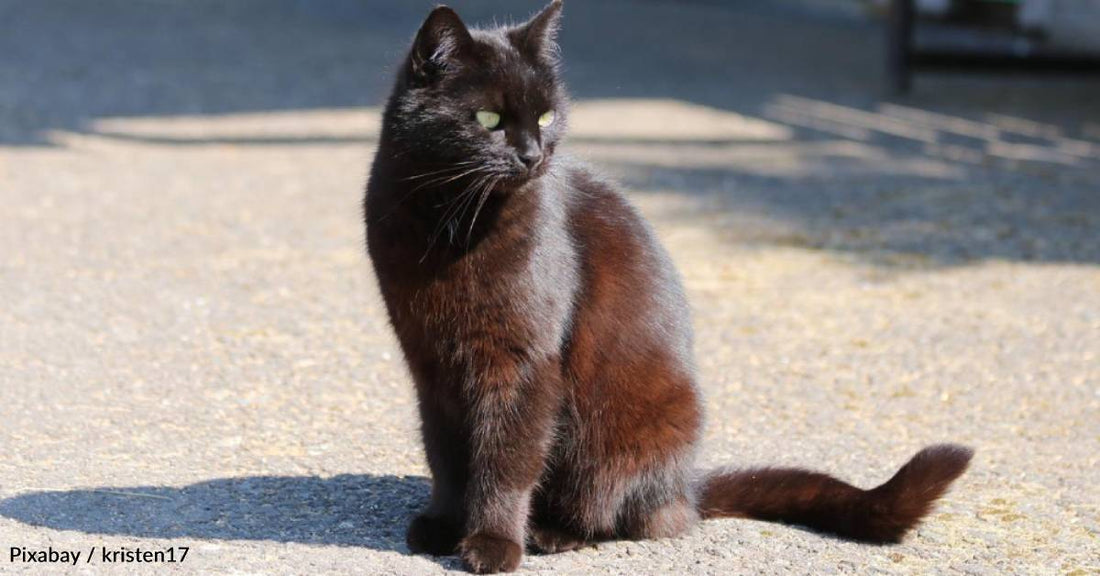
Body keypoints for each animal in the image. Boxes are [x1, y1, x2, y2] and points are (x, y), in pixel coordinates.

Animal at [363, 2, 972, 571]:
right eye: (488, 117)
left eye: (547, 114)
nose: (533, 154)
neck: (448, 221)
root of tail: (687, 488)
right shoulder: (431, 363)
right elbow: (446, 455)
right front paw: (443, 525)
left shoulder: (522, 363)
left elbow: (506, 461)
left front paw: (491, 543)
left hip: (619, 437)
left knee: (619, 514)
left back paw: (552, 533)